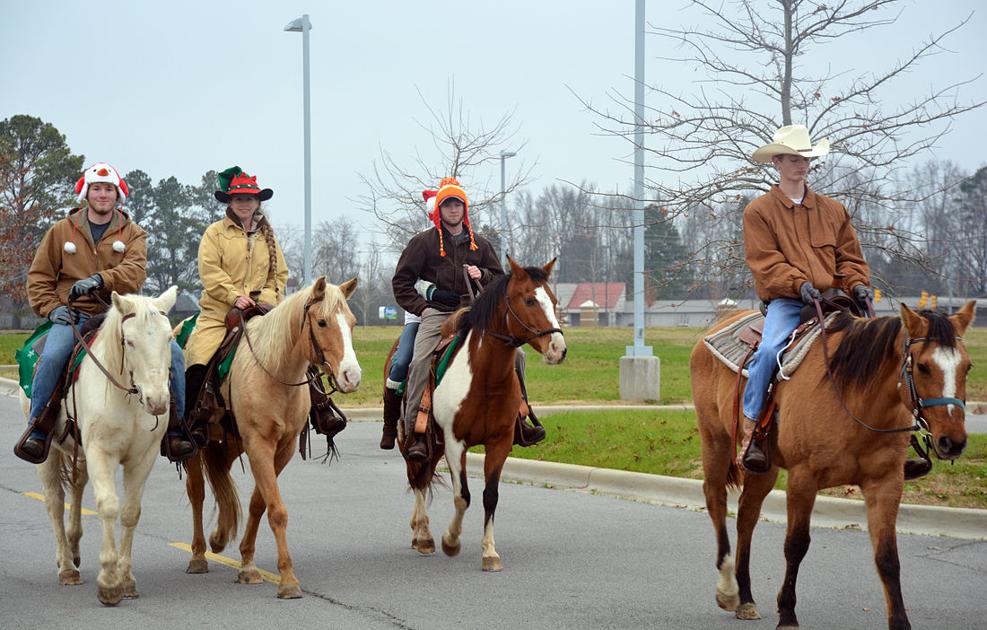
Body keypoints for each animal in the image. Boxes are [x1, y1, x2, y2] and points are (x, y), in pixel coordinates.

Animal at [22, 286, 179, 608]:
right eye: (130, 341)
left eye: (169, 338)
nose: (157, 401)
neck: (128, 396)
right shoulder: (100, 452)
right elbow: (108, 506)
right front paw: (109, 581)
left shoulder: (142, 457)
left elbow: (130, 511)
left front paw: (126, 578)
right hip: (49, 454)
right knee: (55, 501)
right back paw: (67, 566)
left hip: (79, 453)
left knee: (77, 487)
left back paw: (73, 548)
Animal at [182, 278, 362, 600]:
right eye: (322, 321)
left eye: (352, 322)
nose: (351, 376)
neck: (274, 372)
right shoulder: (259, 445)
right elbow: (276, 510)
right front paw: (288, 580)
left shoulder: (283, 448)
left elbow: (260, 503)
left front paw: (247, 564)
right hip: (195, 447)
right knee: (197, 493)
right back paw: (199, 555)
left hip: (227, 444)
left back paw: (219, 537)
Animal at [404, 260, 572, 576]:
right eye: (529, 300)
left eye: (554, 301)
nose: (558, 349)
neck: (485, 379)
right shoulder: (455, 442)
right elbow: (463, 496)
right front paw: (450, 541)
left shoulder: (499, 442)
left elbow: (490, 496)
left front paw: (490, 553)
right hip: (417, 444)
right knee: (418, 478)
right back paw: (423, 536)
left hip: (437, 445)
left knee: (424, 477)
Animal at [692, 302, 976, 630]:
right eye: (923, 366)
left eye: (968, 367)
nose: (953, 442)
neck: (855, 399)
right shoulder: (803, 478)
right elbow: (796, 545)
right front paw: (787, 615)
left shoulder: (886, 483)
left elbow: (887, 556)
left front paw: (900, 622)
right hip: (715, 439)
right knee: (716, 499)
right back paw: (728, 589)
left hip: (764, 466)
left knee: (747, 516)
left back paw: (746, 598)